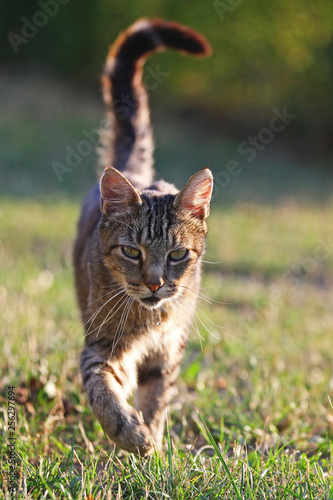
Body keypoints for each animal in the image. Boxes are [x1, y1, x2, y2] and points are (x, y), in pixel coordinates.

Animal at [73, 18, 213, 458]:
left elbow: (157, 398)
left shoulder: (167, 351)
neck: (148, 321)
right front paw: (131, 434)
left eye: (178, 254)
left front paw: (152, 444)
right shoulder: (101, 345)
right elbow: (103, 391)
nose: (155, 283)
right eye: (131, 252)